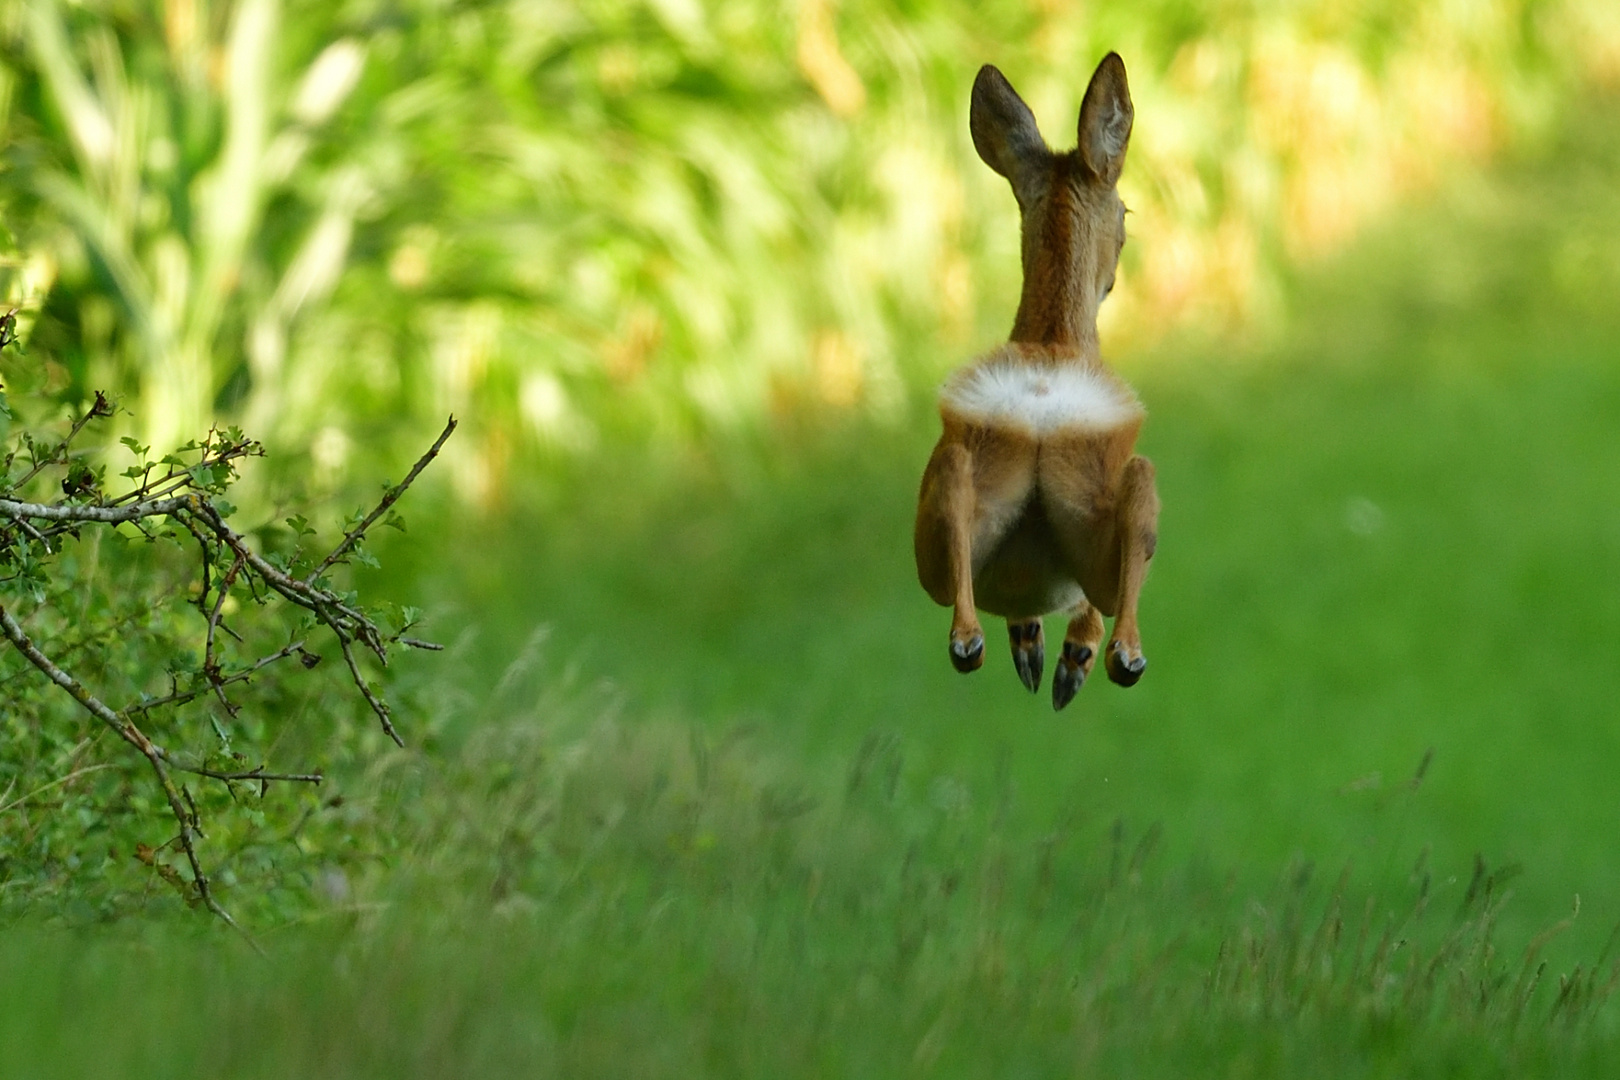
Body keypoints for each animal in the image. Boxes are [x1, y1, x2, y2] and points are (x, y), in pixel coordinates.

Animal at [920, 55, 1159, 709]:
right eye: (1126, 213)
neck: (1054, 336)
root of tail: (1044, 399)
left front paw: (1036, 646)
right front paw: (1058, 653)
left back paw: (983, 644)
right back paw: (1092, 660)